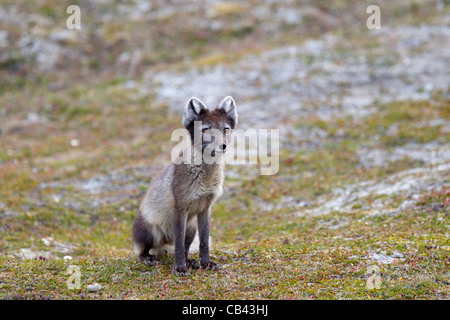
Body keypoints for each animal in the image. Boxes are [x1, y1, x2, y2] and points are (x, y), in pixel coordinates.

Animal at [133, 95, 239, 276]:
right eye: (205, 130)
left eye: (225, 129)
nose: (222, 146)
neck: (205, 178)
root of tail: (165, 244)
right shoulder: (180, 207)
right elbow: (179, 244)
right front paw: (179, 268)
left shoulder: (205, 208)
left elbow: (204, 242)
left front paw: (205, 263)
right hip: (151, 231)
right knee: (143, 250)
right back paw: (149, 259)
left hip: (191, 228)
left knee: (185, 247)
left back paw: (190, 261)